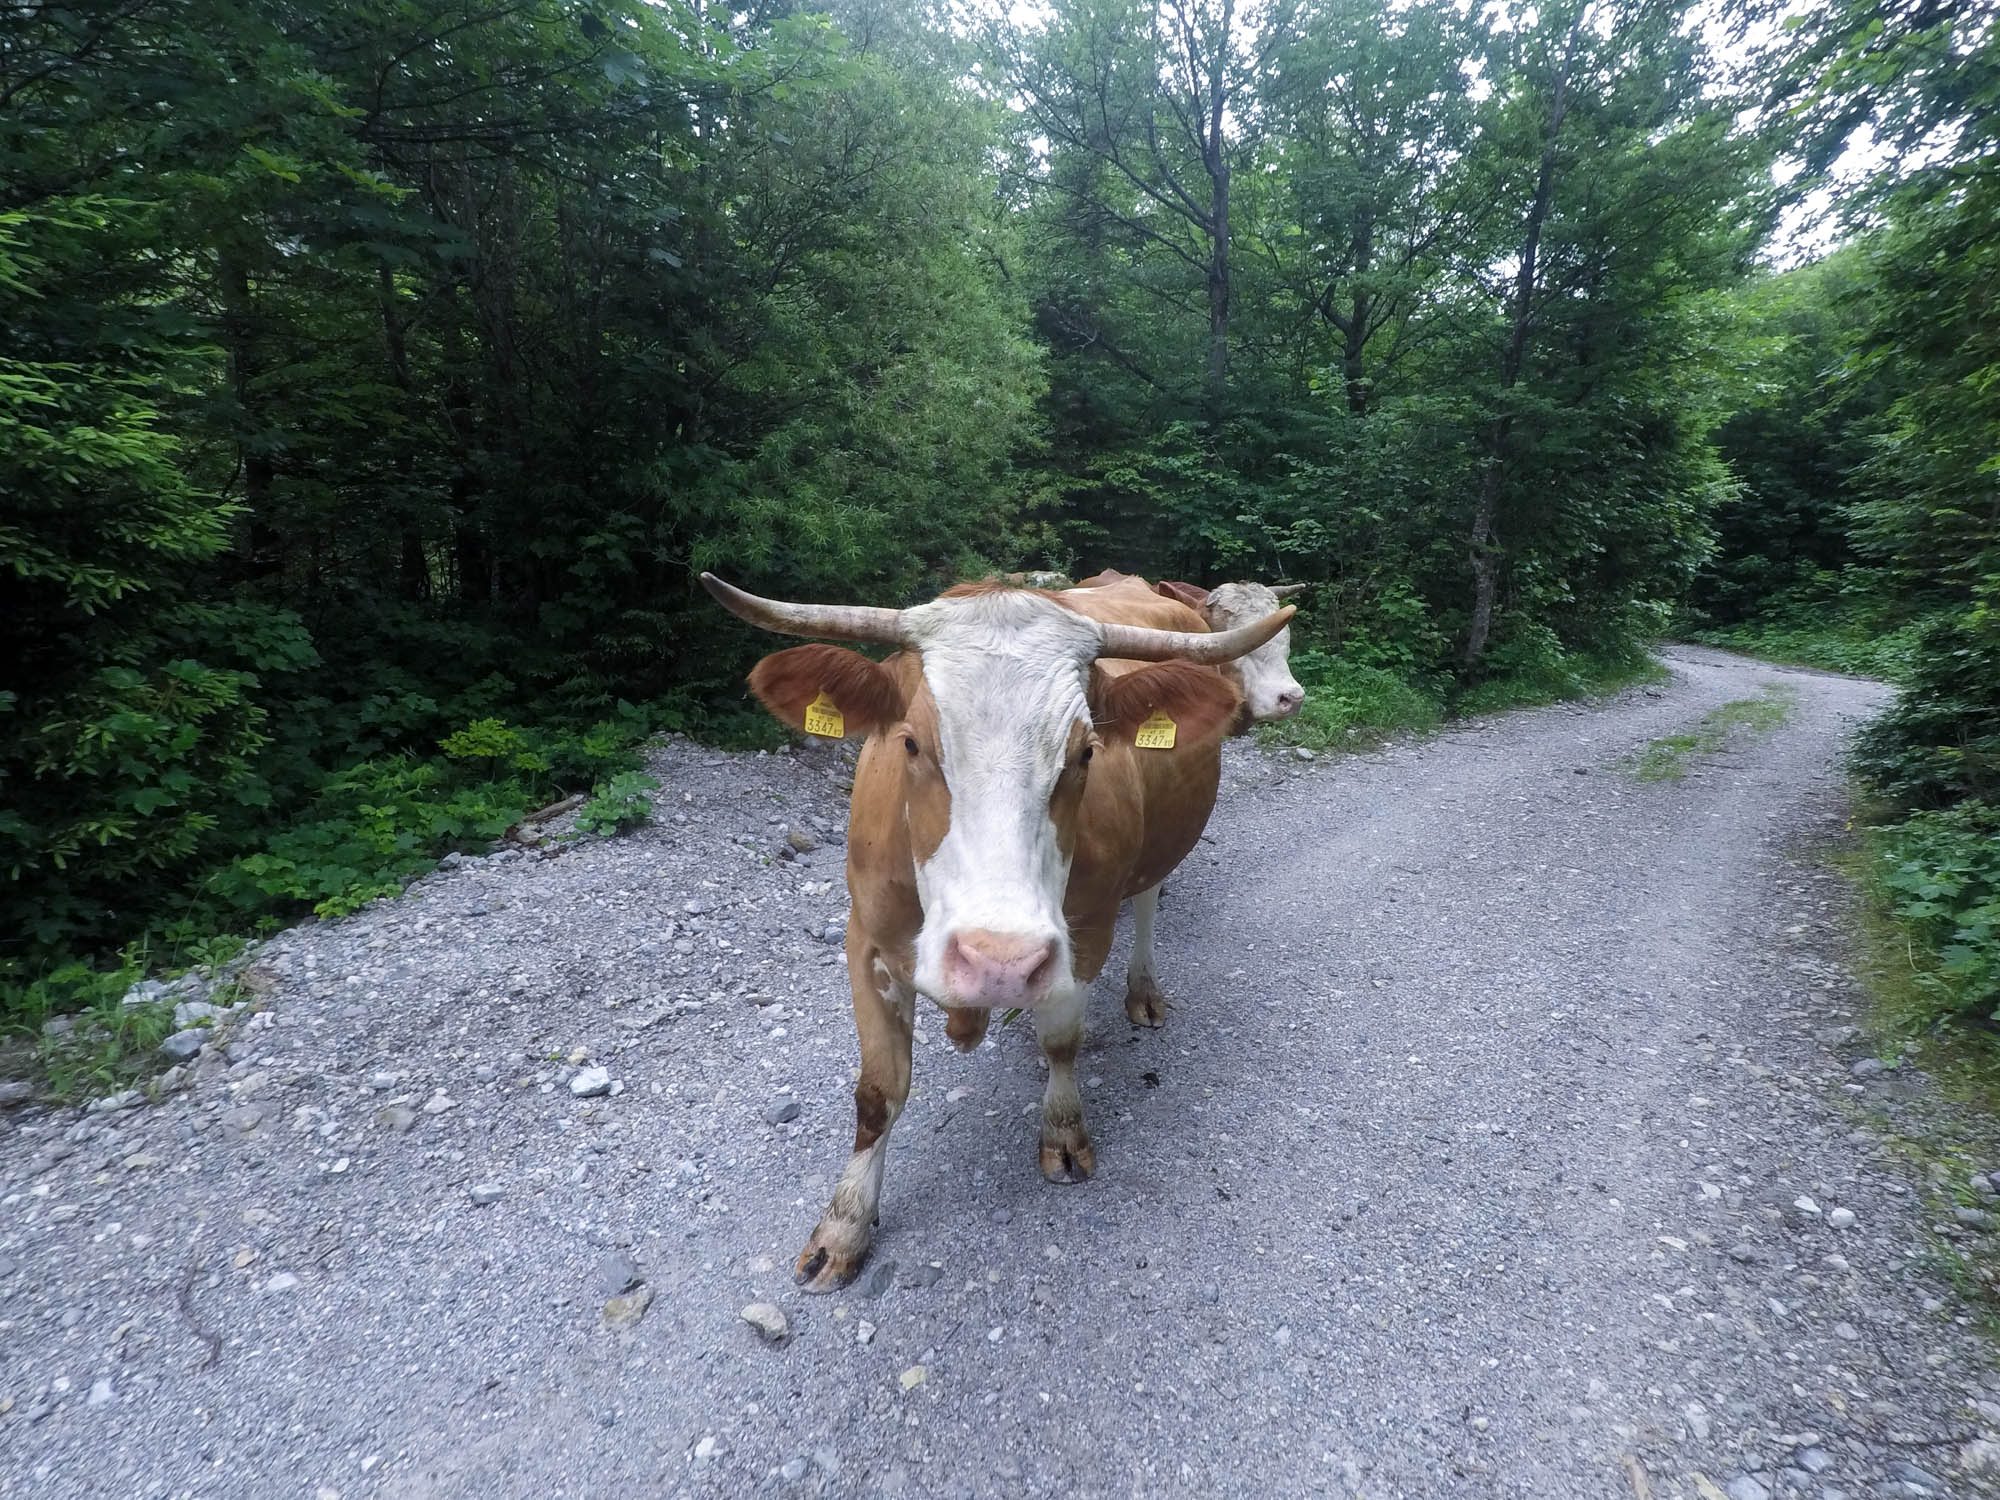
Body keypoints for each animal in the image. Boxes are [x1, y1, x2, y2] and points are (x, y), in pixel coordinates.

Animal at [704, 576, 1296, 1296]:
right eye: (911, 743)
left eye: (1086, 752)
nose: (1000, 963)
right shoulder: (866, 938)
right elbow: (878, 1094)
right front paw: (843, 1226)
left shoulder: (1085, 933)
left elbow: (1062, 1042)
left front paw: (1062, 1130)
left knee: (1148, 902)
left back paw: (1143, 990)